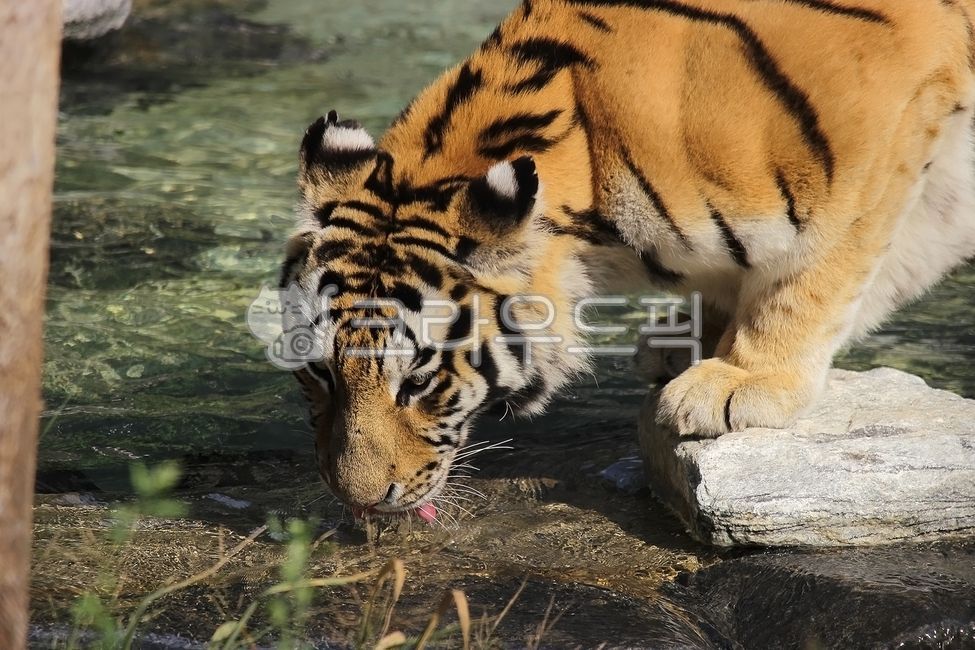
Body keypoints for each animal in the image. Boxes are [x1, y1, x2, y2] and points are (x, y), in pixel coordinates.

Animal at [278, 0, 975, 522]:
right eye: (319, 372)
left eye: (420, 381)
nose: (359, 500)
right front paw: (691, 338)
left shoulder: (879, 131)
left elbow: (814, 273)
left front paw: (743, 377)